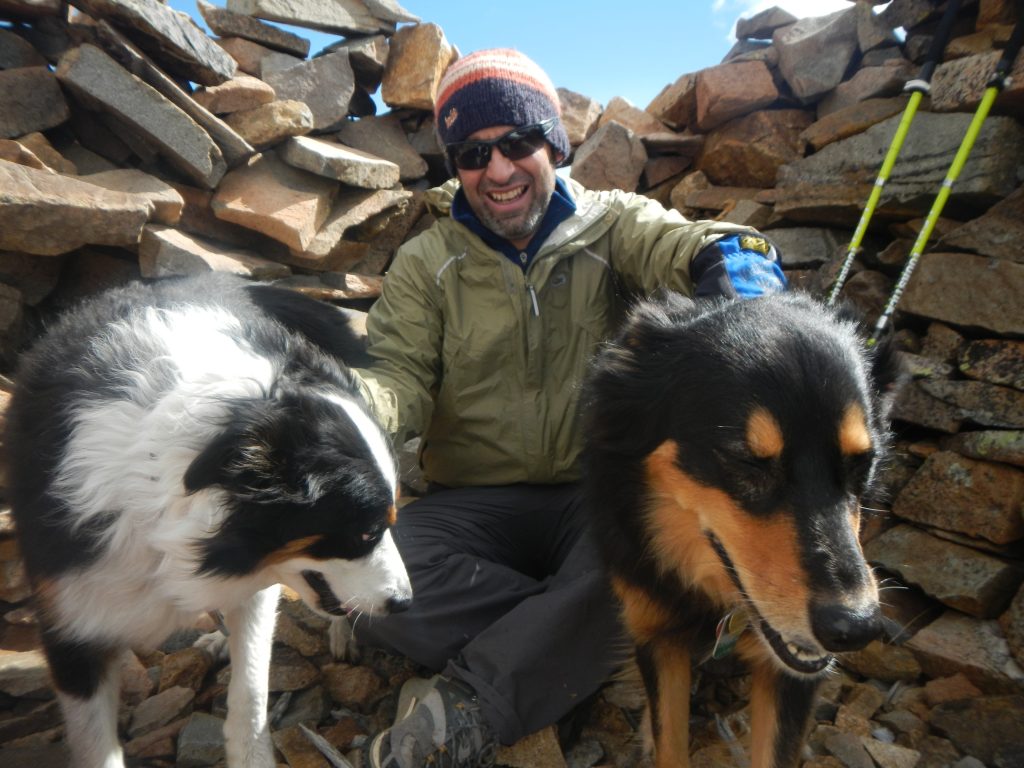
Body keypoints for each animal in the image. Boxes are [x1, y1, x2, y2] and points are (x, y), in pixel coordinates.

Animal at [589, 290, 901, 768]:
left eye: (862, 462)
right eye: (747, 462)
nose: (856, 627)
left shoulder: (794, 676)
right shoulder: (658, 631)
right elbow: (669, 739)